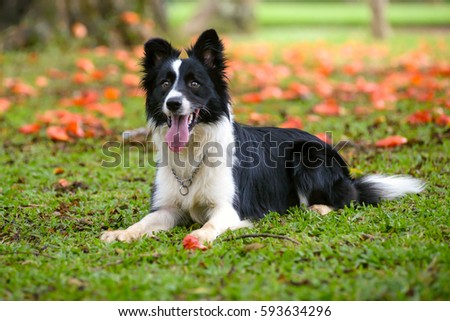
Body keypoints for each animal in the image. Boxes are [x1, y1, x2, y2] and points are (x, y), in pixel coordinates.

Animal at [100, 30, 424, 244]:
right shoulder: (167, 208)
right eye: (165, 84)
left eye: (194, 83)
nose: (173, 104)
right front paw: (121, 233)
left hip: (308, 156)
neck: (195, 150)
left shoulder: (229, 209)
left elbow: (209, 226)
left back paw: (318, 208)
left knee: (346, 200)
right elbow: (143, 222)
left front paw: (198, 237)